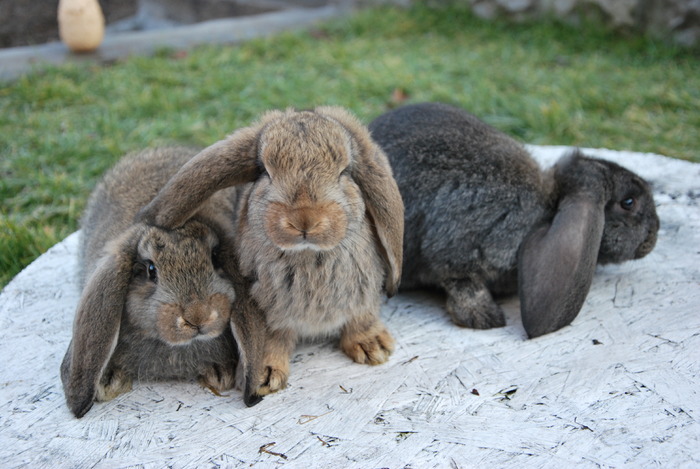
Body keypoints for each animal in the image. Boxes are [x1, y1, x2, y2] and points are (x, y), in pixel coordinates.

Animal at [138, 107, 404, 394]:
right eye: (265, 172)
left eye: (344, 172)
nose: (304, 219)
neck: (308, 254)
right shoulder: (266, 312)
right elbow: (270, 341)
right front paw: (264, 376)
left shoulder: (362, 296)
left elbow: (360, 317)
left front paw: (374, 348)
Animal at [370, 102, 660, 336]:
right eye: (628, 202)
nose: (654, 234)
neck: (548, 206)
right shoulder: (457, 249)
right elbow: (461, 282)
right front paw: (485, 318)